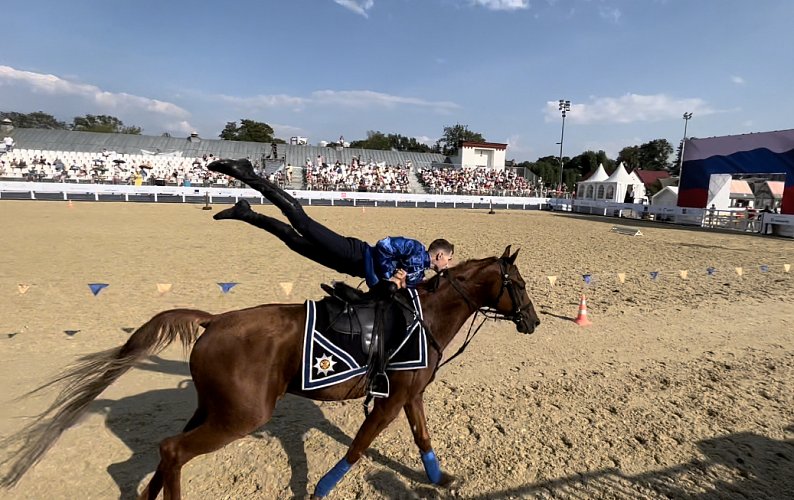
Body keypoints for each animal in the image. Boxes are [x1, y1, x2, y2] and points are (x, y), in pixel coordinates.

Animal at [0, 245, 540, 496]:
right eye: (518, 284)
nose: (533, 320)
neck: (420, 315)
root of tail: (215, 319)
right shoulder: (389, 402)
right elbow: (359, 447)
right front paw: (320, 489)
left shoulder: (410, 396)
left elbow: (423, 438)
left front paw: (441, 478)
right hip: (240, 417)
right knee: (173, 451)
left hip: (212, 409)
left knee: (162, 455)